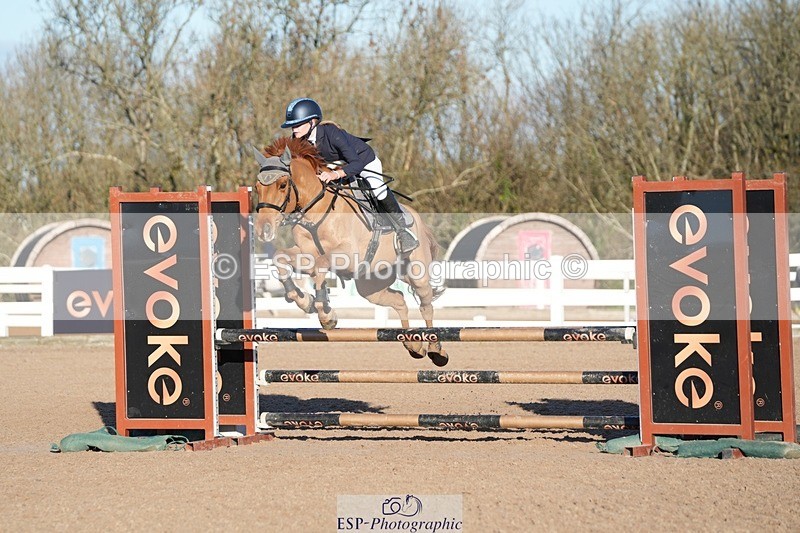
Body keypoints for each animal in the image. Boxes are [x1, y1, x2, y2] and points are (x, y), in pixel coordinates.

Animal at [252, 137, 448, 366]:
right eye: (257, 187)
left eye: (282, 185)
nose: (263, 230)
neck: (317, 210)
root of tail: (416, 217)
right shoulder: (306, 255)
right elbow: (282, 258)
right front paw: (306, 301)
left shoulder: (348, 256)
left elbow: (321, 265)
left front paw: (326, 315)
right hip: (370, 285)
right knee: (399, 300)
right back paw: (413, 345)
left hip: (417, 273)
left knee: (426, 304)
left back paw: (436, 350)